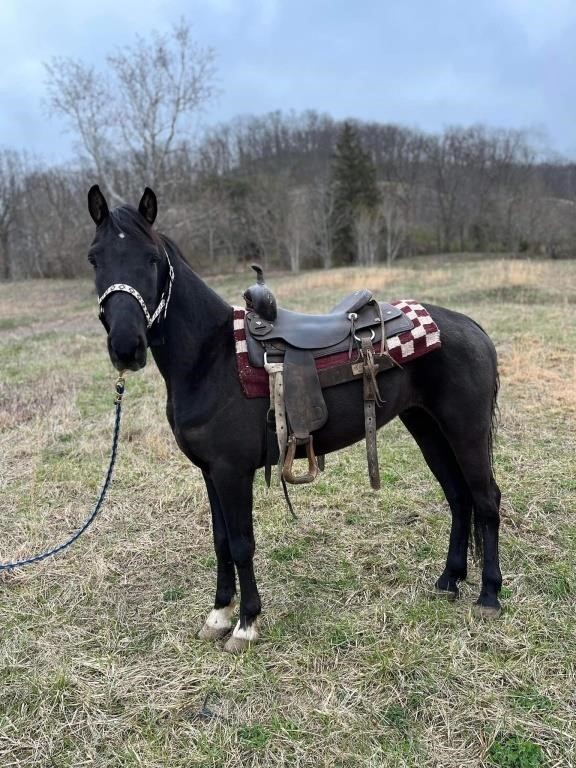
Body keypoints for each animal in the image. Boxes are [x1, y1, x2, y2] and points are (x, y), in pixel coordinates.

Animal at [88, 186, 502, 656]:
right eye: (94, 259)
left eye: (152, 258)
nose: (126, 346)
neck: (209, 358)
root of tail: (471, 327)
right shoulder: (210, 473)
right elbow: (219, 541)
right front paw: (218, 615)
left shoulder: (232, 473)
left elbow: (241, 543)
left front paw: (246, 623)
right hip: (427, 428)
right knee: (459, 497)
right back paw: (449, 581)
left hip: (466, 431)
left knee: (486, 500)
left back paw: (489, 595)